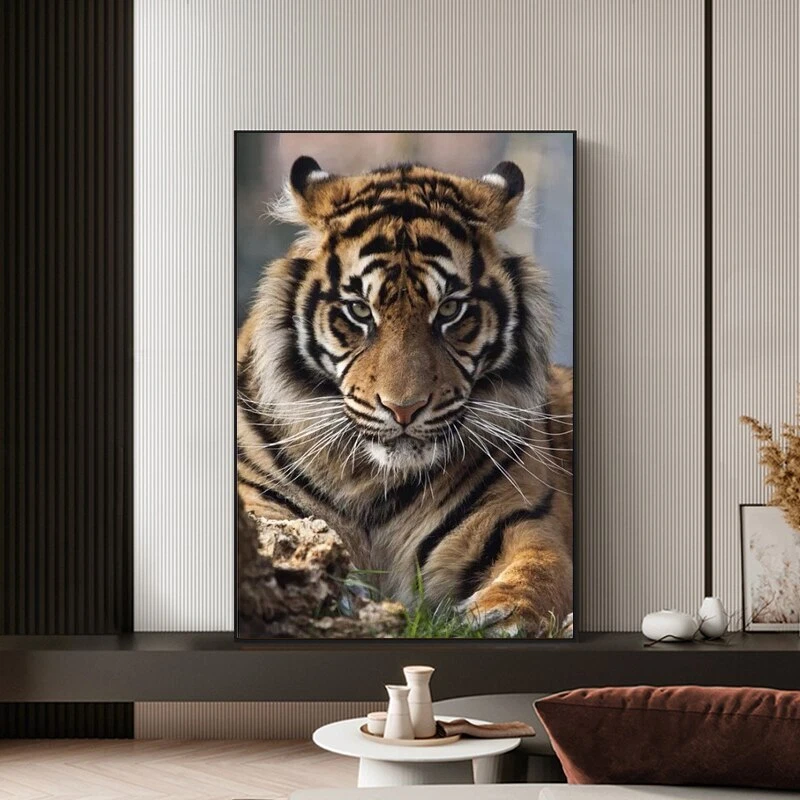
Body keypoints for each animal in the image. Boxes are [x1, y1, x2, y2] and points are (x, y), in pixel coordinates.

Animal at [237, 156, 573, 637]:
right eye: (359, 311)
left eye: (450, 310)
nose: (403, 409)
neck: (371, 480)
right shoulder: (258, 502)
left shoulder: (521, 519)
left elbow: (540, 569)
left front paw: (497, 616)